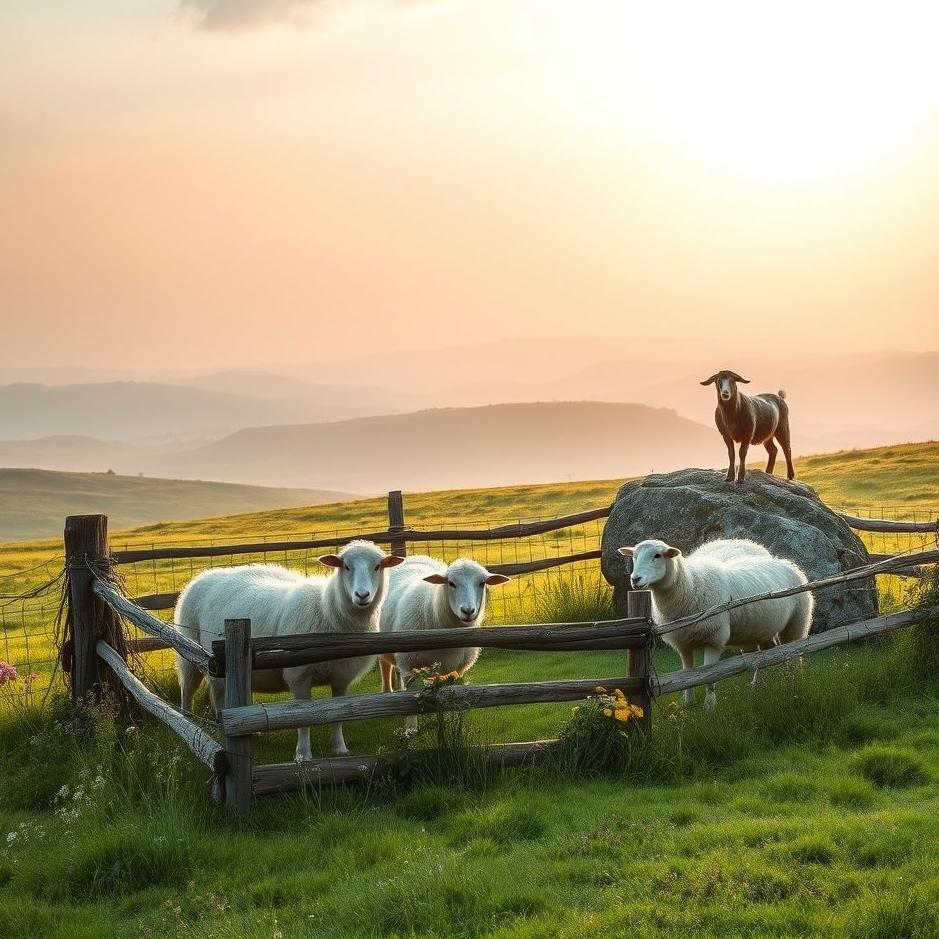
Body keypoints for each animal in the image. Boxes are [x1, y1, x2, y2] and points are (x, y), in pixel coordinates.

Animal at [174, 540, 404, 760]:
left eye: (378, 566)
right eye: (346, 566)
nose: (362, 595)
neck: (326, 609)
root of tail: (204, 575)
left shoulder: (341, 676)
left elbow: (339, 714)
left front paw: (339, 748)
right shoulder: (299, 675)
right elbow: (302, 718)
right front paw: (303, 754)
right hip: (191, 653)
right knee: (190, 688)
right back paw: (188, 723)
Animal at [377, 556, 510, 733]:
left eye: (482, 583)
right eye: (451, 583)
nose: (468, 611)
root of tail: (413, 557)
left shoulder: (458, 670)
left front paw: (453, 721)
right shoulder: (409, 665)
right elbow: (409, 699)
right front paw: (411, 728)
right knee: (385, 668)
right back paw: (388, 694)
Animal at [618, 538, 812, 710]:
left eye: (657, 555)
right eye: (634, 556)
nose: (635, 579)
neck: (690, 586)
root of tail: (786, 562)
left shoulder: (714, 641)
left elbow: (709, 676)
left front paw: (710, 707)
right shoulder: (683, 643)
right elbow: (687, 675)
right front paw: (688, 703)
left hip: (796, 623)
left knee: (795, 656)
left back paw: (795, 688)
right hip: (762, 629)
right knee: (765, 656)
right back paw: (756, 689)